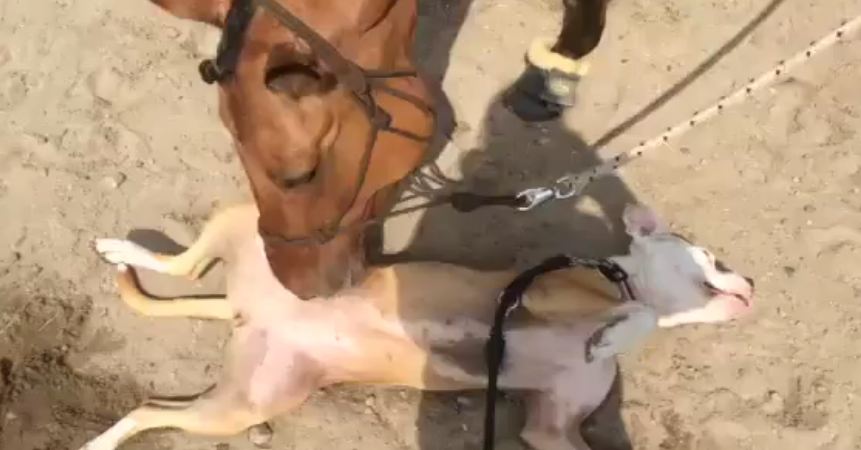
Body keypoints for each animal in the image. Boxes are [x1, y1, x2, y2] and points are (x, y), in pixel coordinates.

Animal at [82, 205, 752, 450]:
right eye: (711, 257)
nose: (749, 281)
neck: (620, 277)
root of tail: (243, 307)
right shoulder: (548, 292)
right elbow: (639, 312)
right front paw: (616, 329)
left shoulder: (550, 428)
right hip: (245, 220)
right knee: (181, 264)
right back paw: (123, 250)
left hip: (244, 403)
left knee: (151, 405)